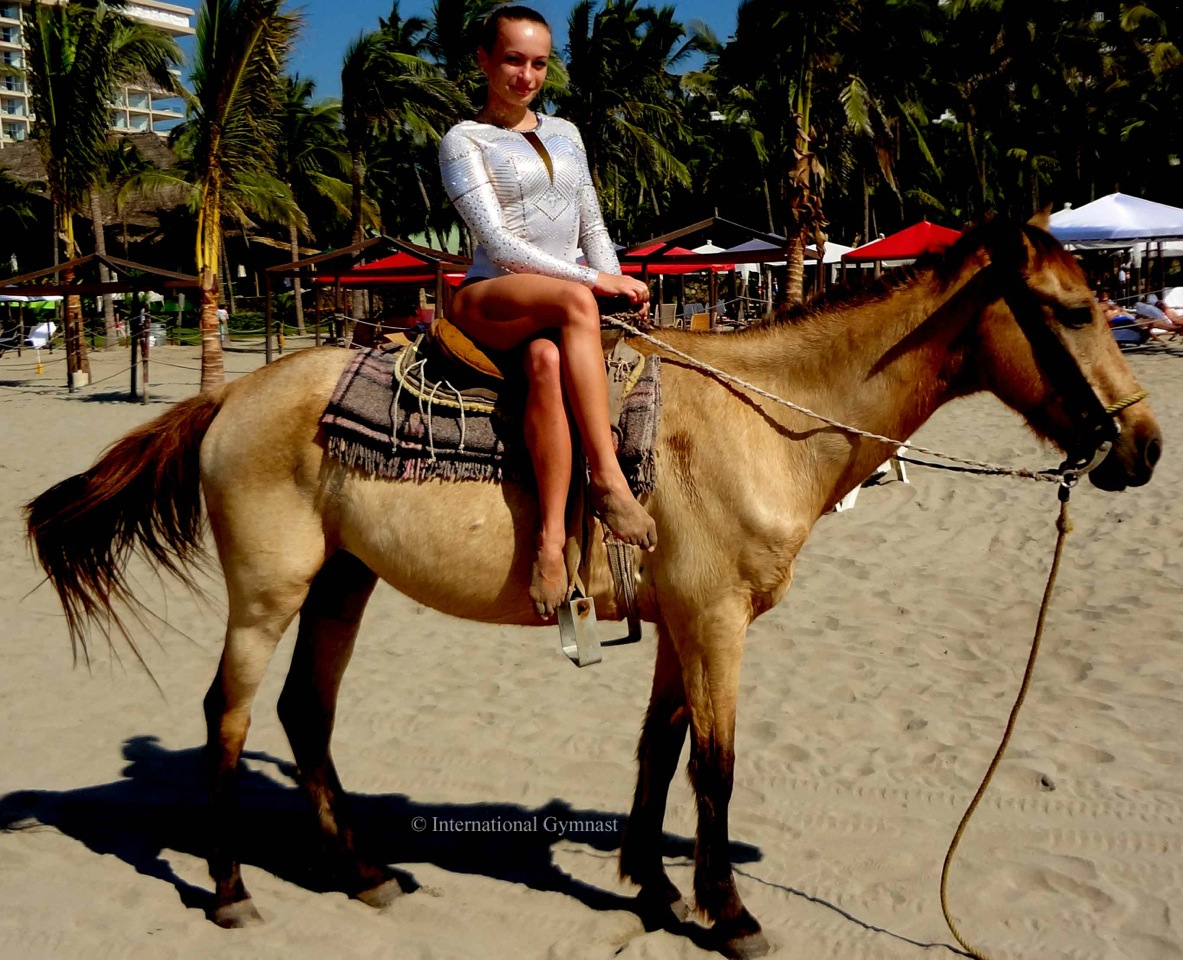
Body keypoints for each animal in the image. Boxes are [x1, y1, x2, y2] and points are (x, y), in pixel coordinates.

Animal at [25, 217, 1154, 960]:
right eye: (1070, 311)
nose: (1142, 448)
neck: (763, 418)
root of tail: (229, 396)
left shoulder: (680, 622)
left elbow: (659, 749)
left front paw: (650, 885)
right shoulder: (716, 622)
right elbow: (716, 766)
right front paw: (728, 912)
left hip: (343, 581)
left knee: (305, 712)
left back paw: (362, 873)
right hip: (269, 589)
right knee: (227, 717)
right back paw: (226, 888)